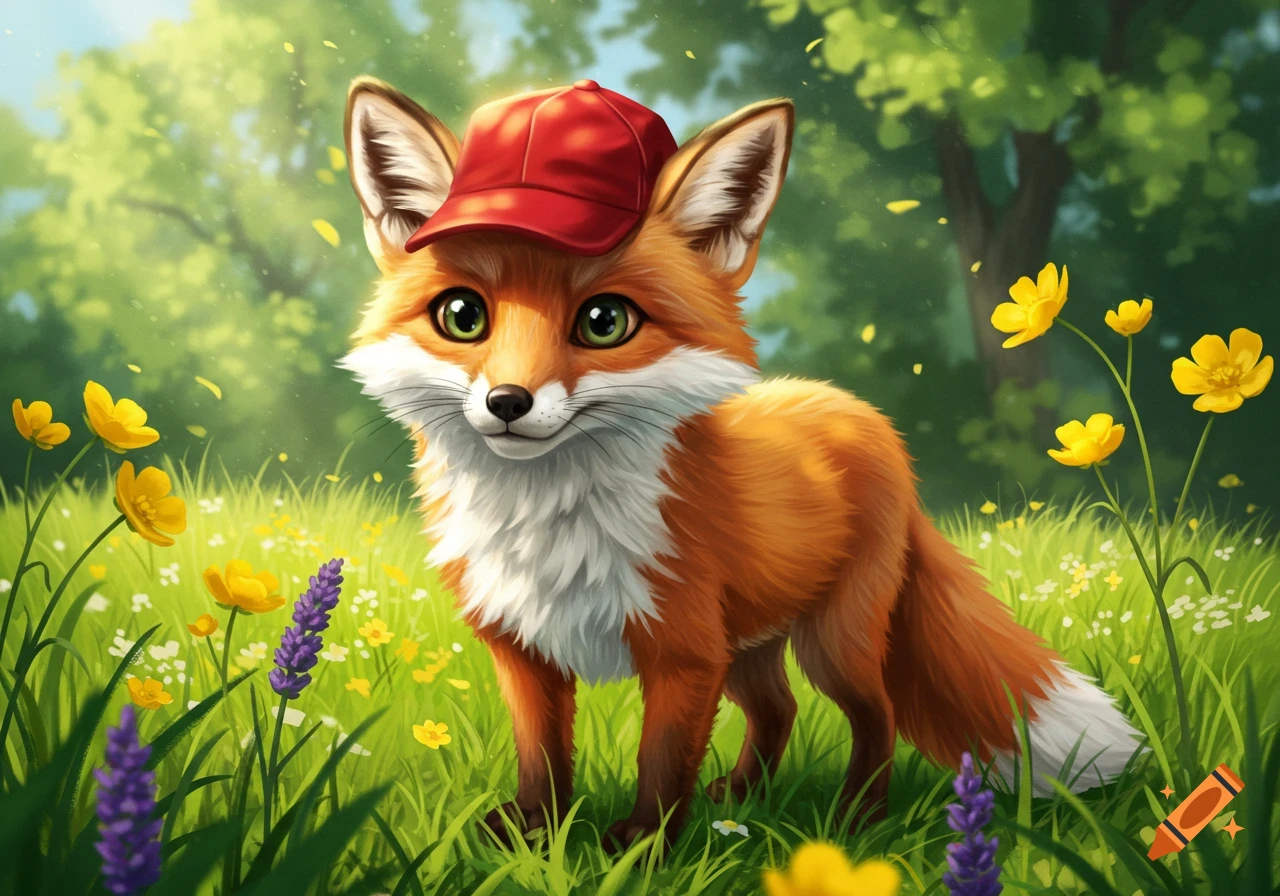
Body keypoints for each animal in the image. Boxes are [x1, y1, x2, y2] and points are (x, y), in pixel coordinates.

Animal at [338, 76, 1145, 851]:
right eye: (462, 315)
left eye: (604, 321)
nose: (508, 401)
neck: (550, 525)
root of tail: (864, 416)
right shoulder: (525, 647)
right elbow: (541, 754)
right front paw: (536, 833)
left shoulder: (686, 652)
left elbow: (661, 760)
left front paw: (644, 847)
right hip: (753, 646)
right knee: (778, 708)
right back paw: (743, 795)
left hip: (834, 641)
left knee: (876, 713)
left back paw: (858, 817)